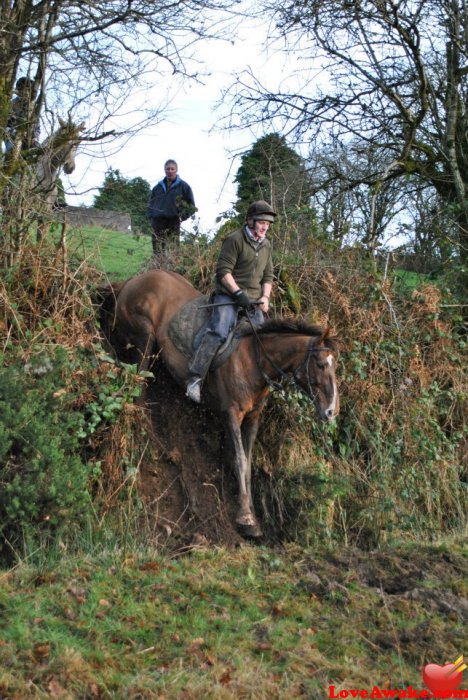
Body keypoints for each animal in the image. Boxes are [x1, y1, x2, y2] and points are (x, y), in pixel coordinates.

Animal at [100, 268, 338, 536]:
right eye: (321, 365)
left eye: (335, 367)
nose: (332, 411)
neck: (254, 358)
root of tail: (132, 280)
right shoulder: (231, 413)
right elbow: (240, 461)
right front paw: (245, 518)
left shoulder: (253, 418)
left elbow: (248, 463)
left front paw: (252, 515)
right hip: (145, 339)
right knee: (138, 385)